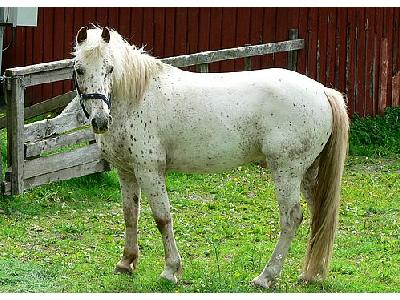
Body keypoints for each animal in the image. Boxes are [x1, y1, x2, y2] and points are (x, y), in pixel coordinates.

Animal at [73, 27, 348, 290]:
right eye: (79, 69)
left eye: (110, 68)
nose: (100, 120)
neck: (137, 96)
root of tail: (322, 91)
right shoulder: (126, 172)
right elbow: (130, 214)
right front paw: (126, 262)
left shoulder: (149, 170)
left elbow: (162, 218)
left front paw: (171, 270)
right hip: (307, 173)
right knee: (319, 215)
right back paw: (310, 275)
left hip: (286, 171)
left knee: (291, 218)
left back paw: (266, 277)